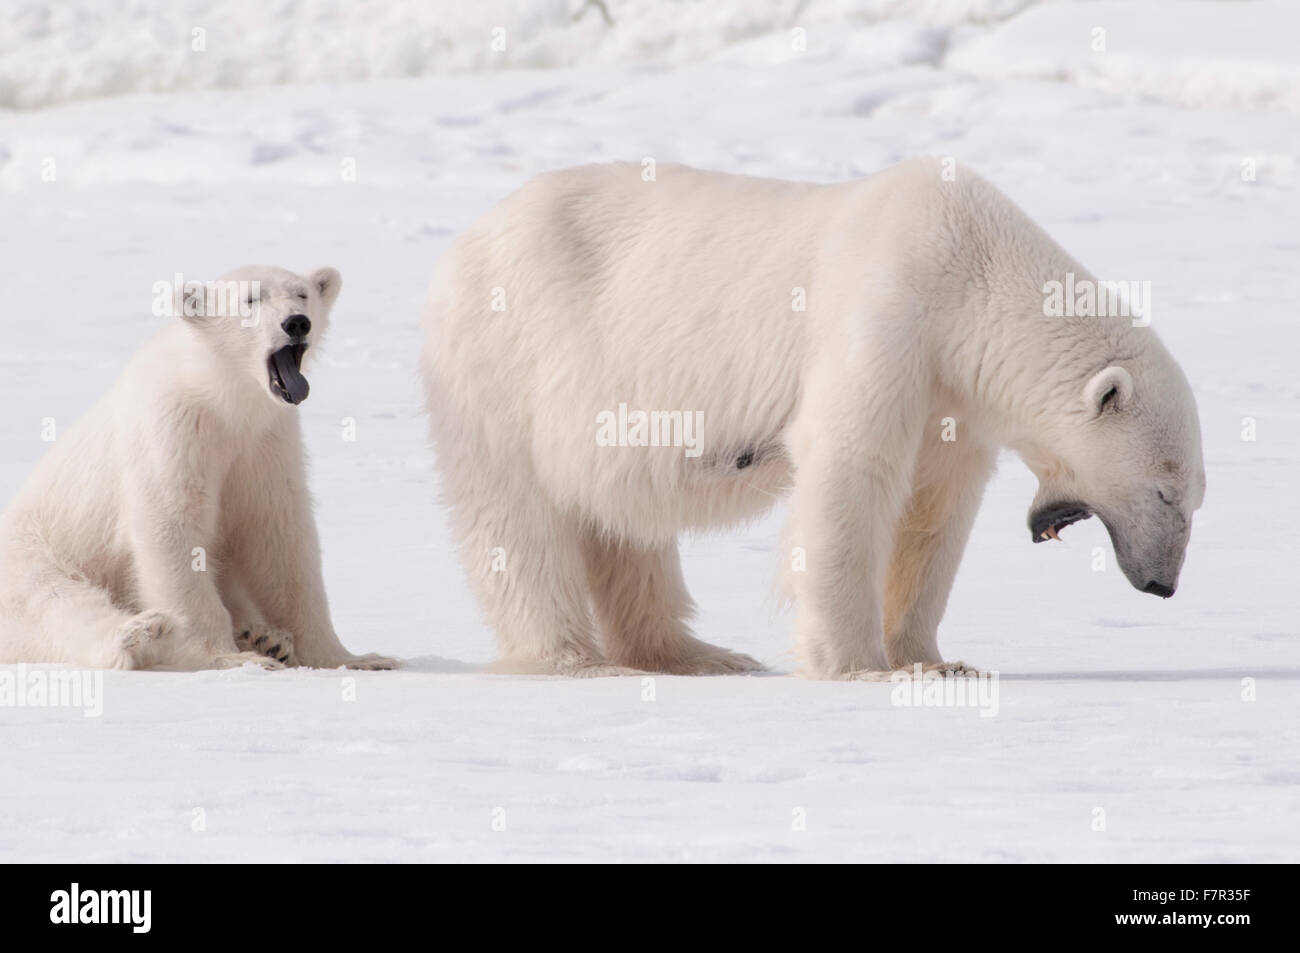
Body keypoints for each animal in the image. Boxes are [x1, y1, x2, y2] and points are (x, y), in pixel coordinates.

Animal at [1, 263, 395, 670]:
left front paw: (357, 658)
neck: (220, 398)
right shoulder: (173, 430)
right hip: (33, 555)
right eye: (250, 299)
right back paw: (138, 634)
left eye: (302, 294)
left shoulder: (266, 444)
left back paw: (266, 638)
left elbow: (280, 538)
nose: (297, 323)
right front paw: (226, 656)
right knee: (56, 603)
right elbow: (173, 527)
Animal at [426, 157, 1206, 676]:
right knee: (517, 520)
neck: (970, 270)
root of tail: (461, 245)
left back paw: (698, 653)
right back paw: (575, 657)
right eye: (1165, 491)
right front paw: (855, 664)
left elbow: (932, 509)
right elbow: (850, 471)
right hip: (507, 362)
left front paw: (936, 660)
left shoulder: (949, 392)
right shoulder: (886, 314)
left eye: (1194, 497)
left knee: (623, 524)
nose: (1163, 584)